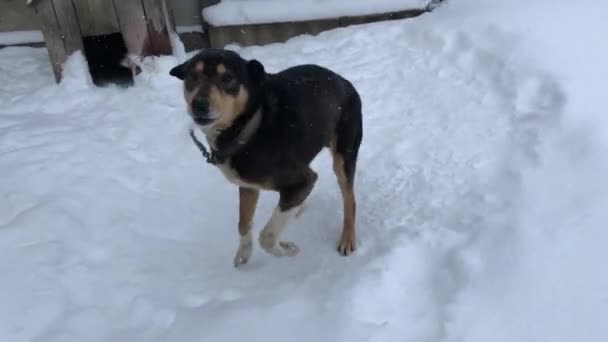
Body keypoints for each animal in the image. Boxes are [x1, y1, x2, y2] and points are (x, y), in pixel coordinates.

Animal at [169, 48, 364, 268]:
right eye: (192, 76)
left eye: (227, 78)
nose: (199, 105)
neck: (251, 126)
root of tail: (345, 81)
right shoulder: (248, 186)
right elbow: (243, 223)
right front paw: (244, 253)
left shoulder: (302, 179)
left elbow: (267, 236)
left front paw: (287, 249)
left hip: (344, 156)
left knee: (350, 201)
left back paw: (347, 239)